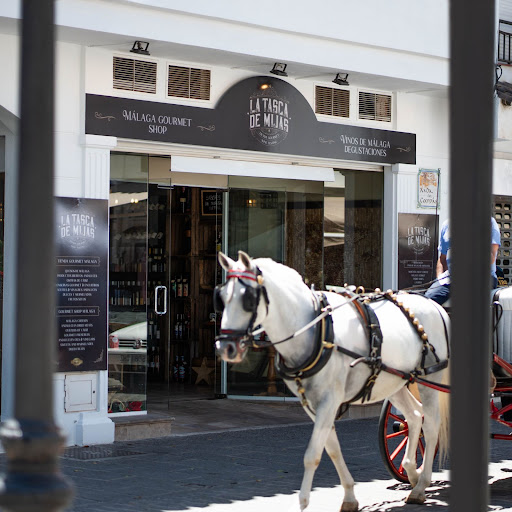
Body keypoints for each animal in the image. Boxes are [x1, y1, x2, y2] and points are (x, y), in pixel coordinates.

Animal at [214, 252, 450, 512]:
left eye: (248, 299)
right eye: (221, 297)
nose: (226, 347)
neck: (315, 330)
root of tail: (435, 306)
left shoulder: (329, 400)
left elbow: (313, 454)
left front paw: (303, 502)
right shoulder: (312, 404)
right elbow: (332, 448)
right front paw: (349, 497)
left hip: (429, 379)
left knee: (431, 426)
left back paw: (421, 486)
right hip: (394, 381)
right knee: (415, 416)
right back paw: (411, 472)